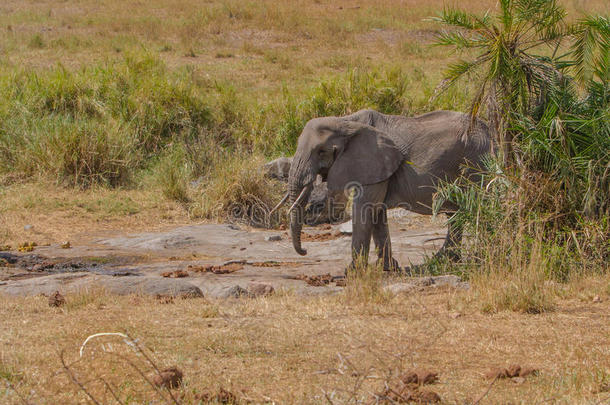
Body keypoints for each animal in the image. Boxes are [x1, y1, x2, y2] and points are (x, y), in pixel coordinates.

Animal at [284, 109, 490, 270]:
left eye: (321, 151)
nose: (305, 251)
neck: (345, 121)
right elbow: (377, 213)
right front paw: (389, 268)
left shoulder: (372, 161)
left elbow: (364, 210)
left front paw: (353, 272)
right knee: (456, 214)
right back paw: (445, 260)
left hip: (476, 163)